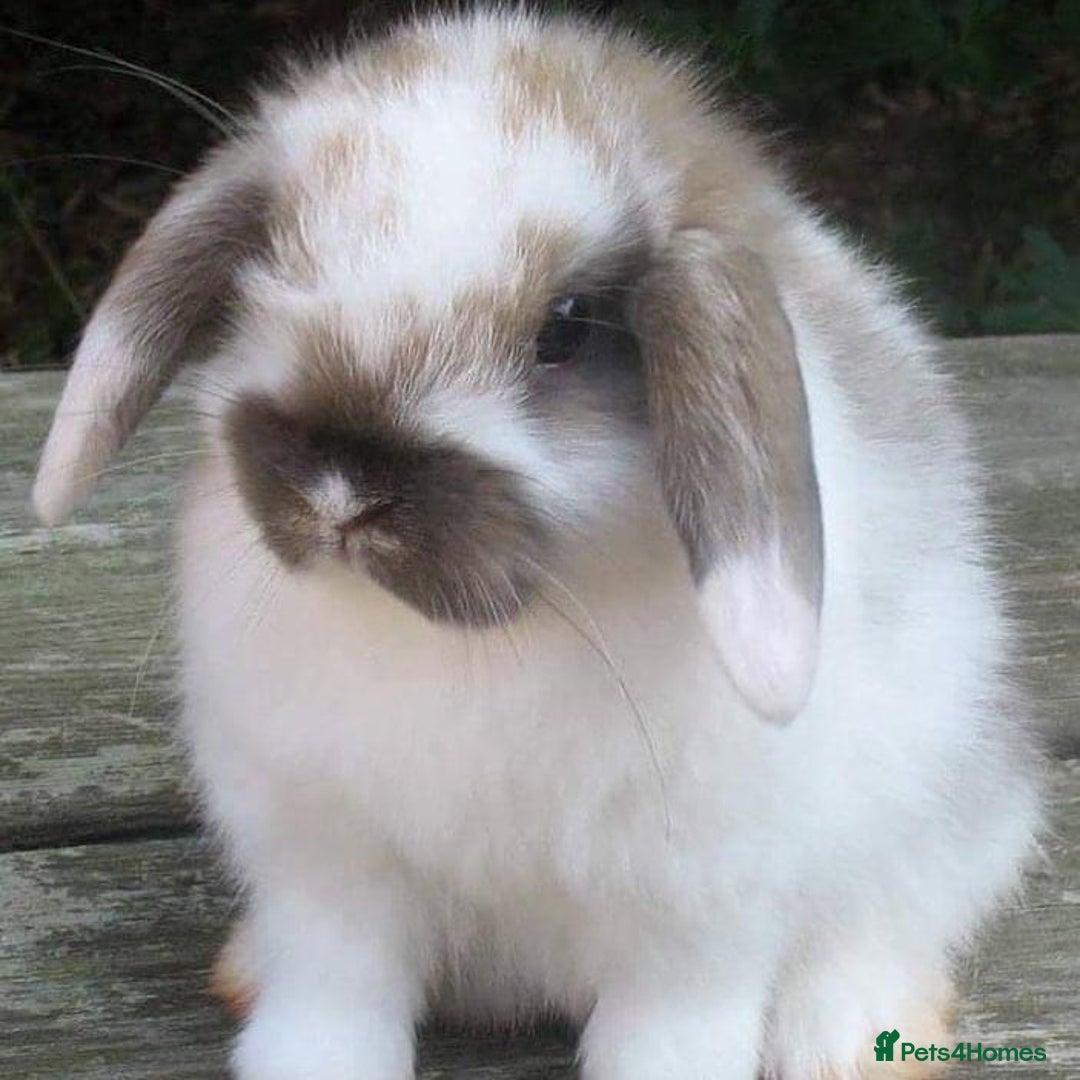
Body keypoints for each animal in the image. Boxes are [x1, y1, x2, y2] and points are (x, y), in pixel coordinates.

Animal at [32, 8, 1042, 1079]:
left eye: (566, 326)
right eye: (270, 258)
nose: (341, 494)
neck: (452, 648)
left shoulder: (694, 916)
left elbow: (668, 1031)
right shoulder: (324, 866)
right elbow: (331, 996)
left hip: (957, 815)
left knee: (883, 922)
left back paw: (849, 1038)